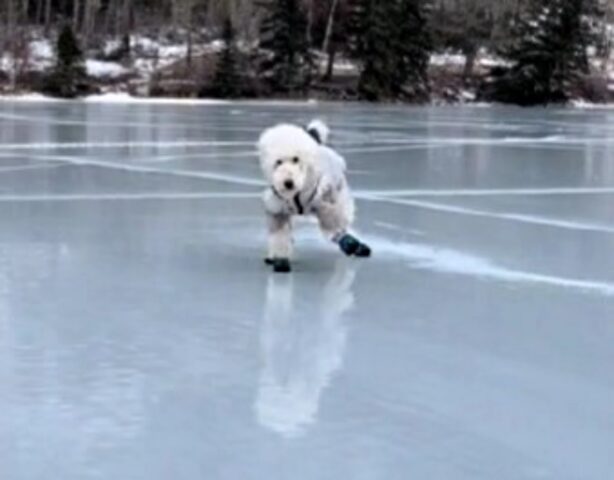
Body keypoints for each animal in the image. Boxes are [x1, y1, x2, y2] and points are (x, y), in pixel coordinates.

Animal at [256, 119, 370, 274]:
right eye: (278, 162)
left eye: (296, 159)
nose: (288, 183)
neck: (298, 192)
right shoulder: (278, 208)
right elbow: (280, 235)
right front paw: (280, 259)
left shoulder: (325, 203)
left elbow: (335, 225)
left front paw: (349, 243)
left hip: (337, 193)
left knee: (343, 220)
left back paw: (355, 245)